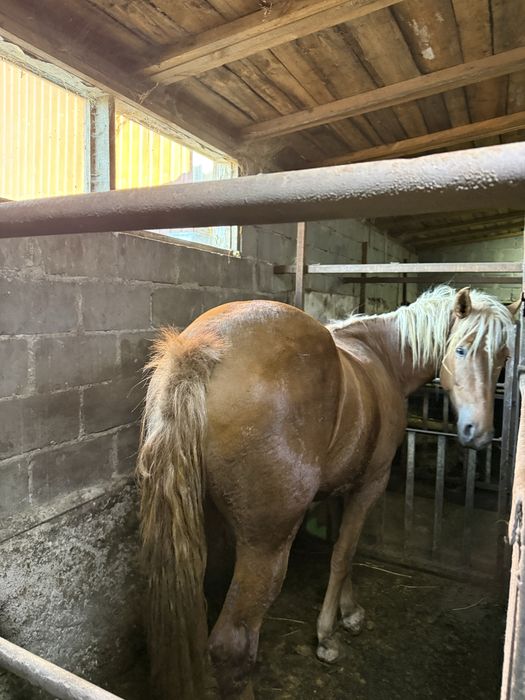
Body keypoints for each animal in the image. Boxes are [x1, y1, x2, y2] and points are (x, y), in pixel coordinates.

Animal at [137, 285, 519, 700]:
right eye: (462, 349)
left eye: (503, 358)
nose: (478, 434)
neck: (381, 356)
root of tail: (198, 349)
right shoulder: (371, 483)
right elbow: (345, 554)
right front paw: (328, 636)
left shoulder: (340, 486)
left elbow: (341, 549)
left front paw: (348, 612)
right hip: (266, 545)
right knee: (232, 646)